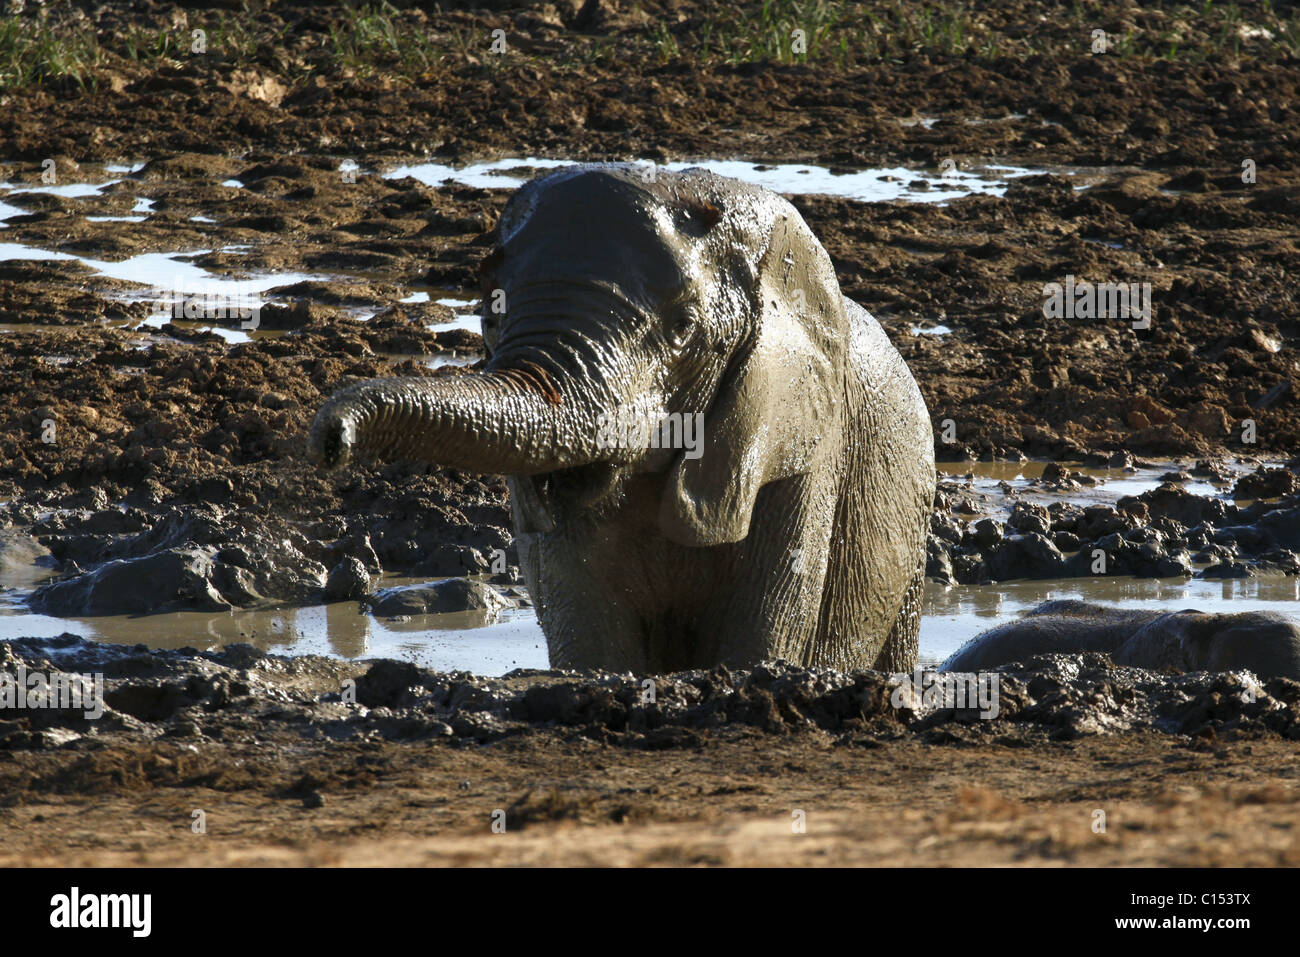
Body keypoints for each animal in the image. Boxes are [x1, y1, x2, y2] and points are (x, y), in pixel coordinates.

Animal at [306, 164, 935, 670]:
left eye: (683, 328)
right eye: (489, 313)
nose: (330, 440)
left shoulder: (803, 447)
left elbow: (761, 638)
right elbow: (592, 639)